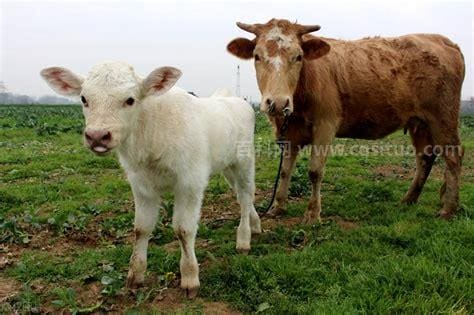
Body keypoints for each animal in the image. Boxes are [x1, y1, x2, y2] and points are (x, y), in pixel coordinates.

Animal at [41, 61, 262, 298]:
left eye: (130, 100)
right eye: (84, 99)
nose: (97, 136)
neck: (151, 136)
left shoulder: (190, 182)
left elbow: (184, 230)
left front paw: (190, 277)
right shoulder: (141, 186)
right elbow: (141, 228)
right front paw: (135, 275)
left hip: (245, 161)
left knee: (246, 195)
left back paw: (244, 238)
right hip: (227, 166)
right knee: (241, 195)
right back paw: (255, 223)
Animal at [228, 18, 464, 223]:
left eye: (299, 56)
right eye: (257, 56)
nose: (277, 103)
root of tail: (442, 40)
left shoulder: (325, 124)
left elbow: (315, 171)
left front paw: (313, 214)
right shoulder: (289, 133)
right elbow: (286, 170)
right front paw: (278, 207)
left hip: (443, 117)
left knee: (453, 156)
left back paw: (448, 209)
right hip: (419, 122)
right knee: (425, 157)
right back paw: (409, 200)